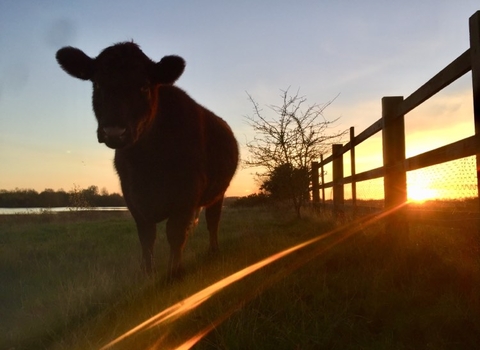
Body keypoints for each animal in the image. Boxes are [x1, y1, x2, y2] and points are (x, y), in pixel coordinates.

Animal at [55, 42, 239, 280]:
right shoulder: (132, 194)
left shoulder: (188, 191)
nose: (114, 131)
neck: (147, 162)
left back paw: (213, 251)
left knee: (212, 221)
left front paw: (174, 272)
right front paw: (148, 272)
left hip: (218, 193)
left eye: (144, 86)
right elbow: (146, 235)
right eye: (97, 83)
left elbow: (175, 233)